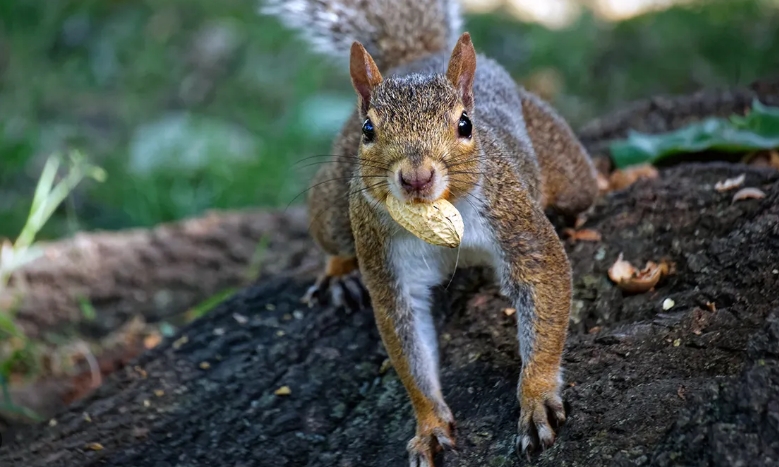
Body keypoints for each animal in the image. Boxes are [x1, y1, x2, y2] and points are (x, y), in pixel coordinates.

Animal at [262, 0, 596, 464]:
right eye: (369, 130)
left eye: (465, 125)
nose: (416, 177)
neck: (440, 214)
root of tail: (418, 57)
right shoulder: (386, 260)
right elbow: (408, 341)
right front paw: (430, 426)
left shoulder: (514, 220)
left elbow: (542, 283)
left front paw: (536, 397)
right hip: (333, 208)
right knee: (332, 237)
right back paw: (340, 274)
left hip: (567, 173)